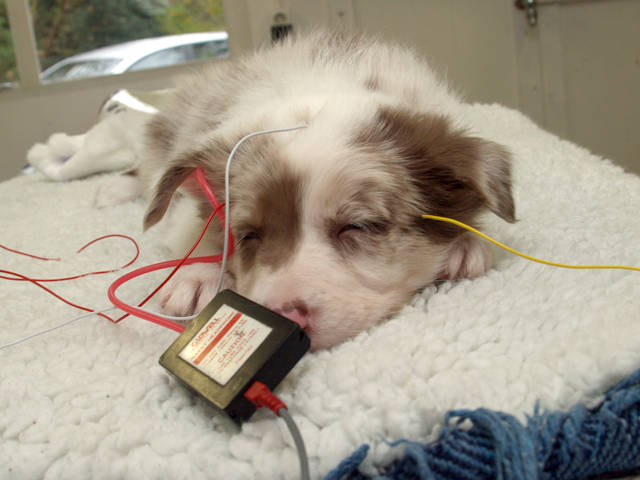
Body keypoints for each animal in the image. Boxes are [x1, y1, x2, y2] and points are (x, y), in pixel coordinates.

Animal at [113, 31, 515, 351]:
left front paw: (465, 244)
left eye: (358, 226)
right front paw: (199, 276)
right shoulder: (186, 200)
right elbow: (194, 229)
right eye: (249, 235)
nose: (287, 319)